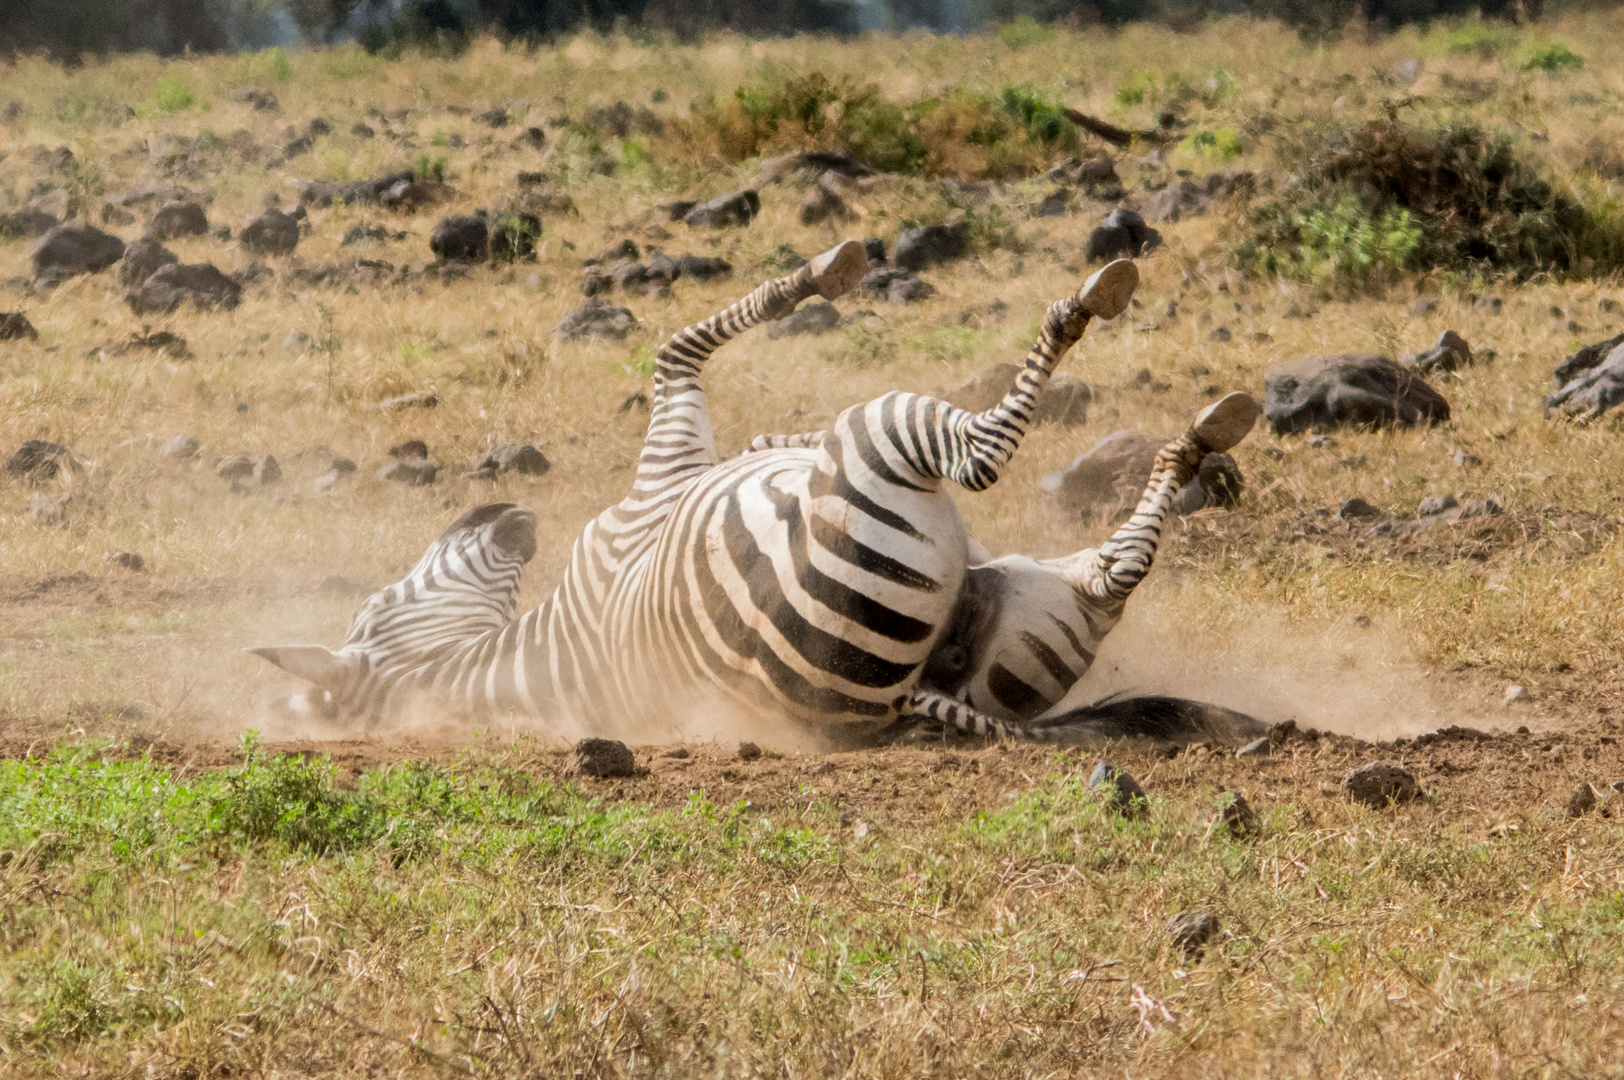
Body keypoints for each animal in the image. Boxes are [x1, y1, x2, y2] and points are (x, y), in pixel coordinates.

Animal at [253, 240, 1156, 737]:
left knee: (1102, 577)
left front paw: (781, 442)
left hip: (1031, 617)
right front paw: (828, 270)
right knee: (992, 463)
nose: (499, 511)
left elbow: (753, 427)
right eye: (375, 608)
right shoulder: (663, 464)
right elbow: (680, 343)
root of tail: (903, 703)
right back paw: (1119, 344)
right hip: (879, 446)